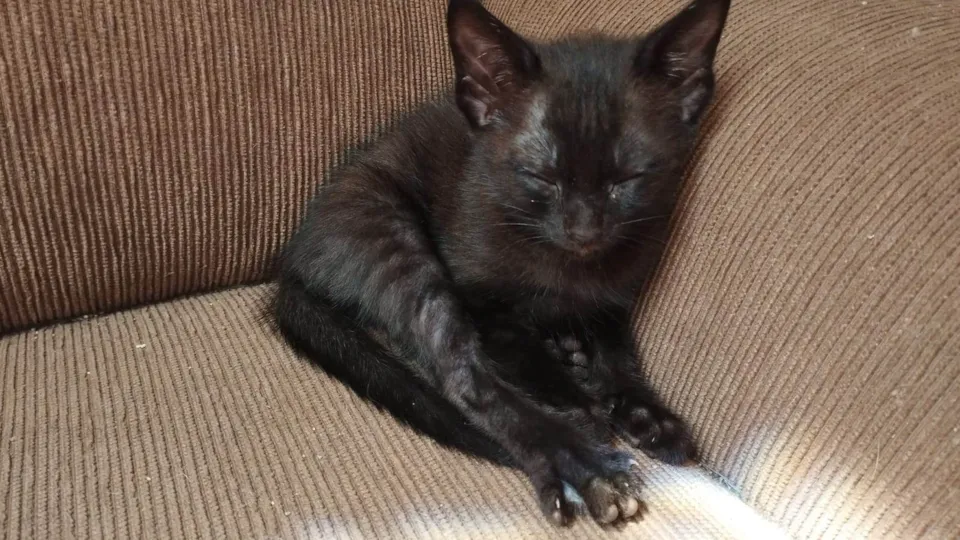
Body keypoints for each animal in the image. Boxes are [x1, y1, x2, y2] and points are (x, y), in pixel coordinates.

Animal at [273, 0, 730, 526]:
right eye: (541, 177)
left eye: (628, 179)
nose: (584, 231)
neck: (570, 272)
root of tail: (294, 261)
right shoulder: (479, 299)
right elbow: (510, 353)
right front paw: (577, 401)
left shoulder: (616, 296)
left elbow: (619, 353)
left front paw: (644, 412)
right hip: (389, 230)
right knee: (461, 378)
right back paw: (591, 467)